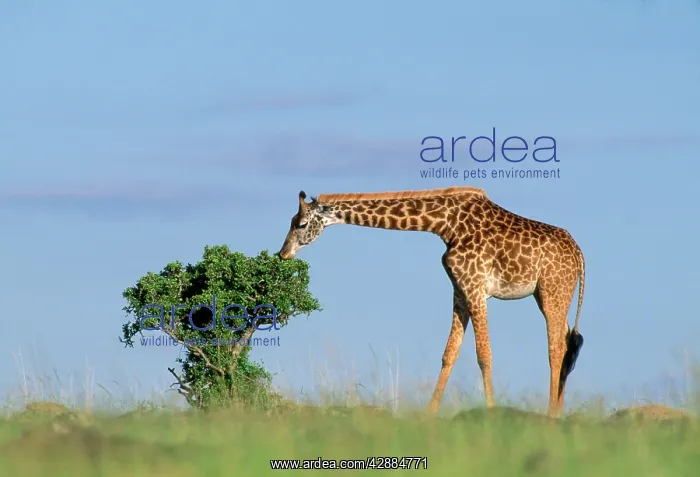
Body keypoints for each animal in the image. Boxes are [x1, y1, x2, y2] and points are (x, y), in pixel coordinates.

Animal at [277, 186, 585, 418]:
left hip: (552, 292)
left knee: (556, 349)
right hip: (551, 296)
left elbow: (484, 355)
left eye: (300, 224)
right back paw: (558, 411)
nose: (283, 254)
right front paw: (429, 413)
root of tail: (580, 255)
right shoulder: (460, 291)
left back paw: (551, 414)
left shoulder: (475, 287)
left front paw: (490, 409)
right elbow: (449, 354)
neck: (445, 225)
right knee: (567, 344)